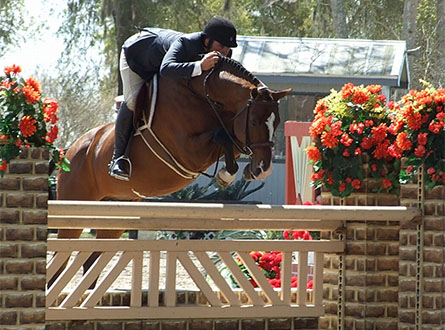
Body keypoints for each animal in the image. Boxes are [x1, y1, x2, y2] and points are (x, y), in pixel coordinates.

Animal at [49, 54, 292, 286]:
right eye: (254, 121)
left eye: (277, 122)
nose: (264, 169)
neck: (204, 94)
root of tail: (71, 149)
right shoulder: (188, 151)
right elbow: (222, 135)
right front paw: (226, 175)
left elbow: (230, 138)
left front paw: (240, 170)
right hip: (74, 210)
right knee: (60, 263)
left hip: (114, 215)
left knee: (91, 263)